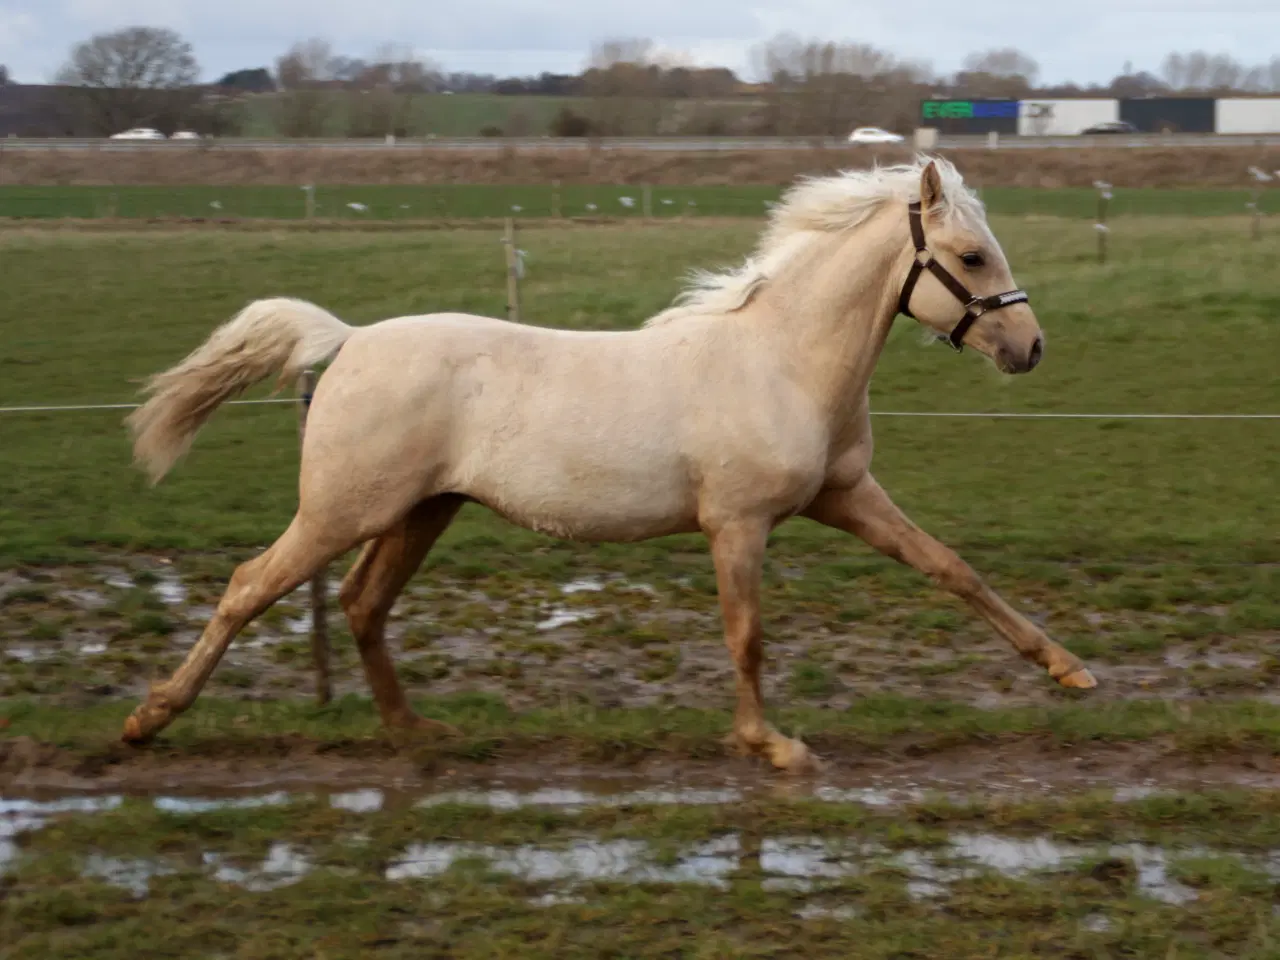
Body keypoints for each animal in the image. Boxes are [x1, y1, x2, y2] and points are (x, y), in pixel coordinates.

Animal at [120, 158, 1095, 773]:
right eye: (970, 255)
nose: (1032, 347)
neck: (781, 361)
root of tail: (350, 339)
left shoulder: (845, 496)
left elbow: (952, 569)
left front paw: (1070, 671)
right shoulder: (737, 523)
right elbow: (747, 634)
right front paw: (773, 747)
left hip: (422, 510)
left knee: (363, 604)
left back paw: (415, 732)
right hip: (343, 511)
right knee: (251, 586)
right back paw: (147, 719)